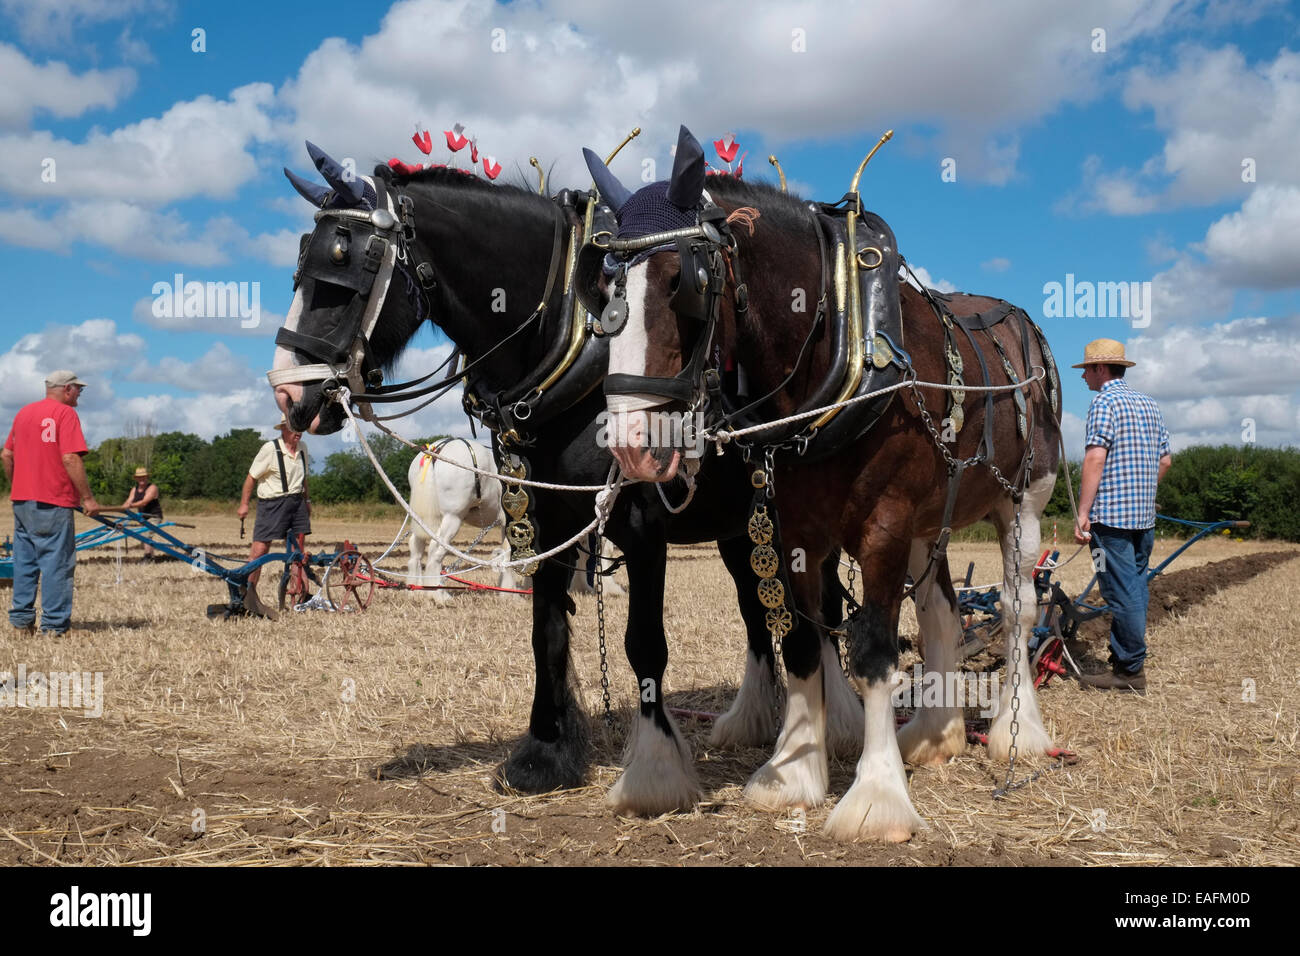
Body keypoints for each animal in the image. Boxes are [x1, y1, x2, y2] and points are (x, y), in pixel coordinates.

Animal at [267, 143, 862, 815]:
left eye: (340, 277)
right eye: (300, 272)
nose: (287, 395)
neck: (573, 349)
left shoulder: (642, 524)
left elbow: (644, 642)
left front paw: (654, 773)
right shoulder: (544, 517)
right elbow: (546, 628)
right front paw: (544, 752)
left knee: (821, 606)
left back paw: (836, 724)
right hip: (740, 524)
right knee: (756, 608)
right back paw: (755, 720)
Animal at [583, 126, 1063, 841]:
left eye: (683, 283)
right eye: (605, 288)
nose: (631, 444)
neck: (842, 338)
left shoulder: (884, 523)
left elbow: (873, 652)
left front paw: (877, 796)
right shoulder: (795, 525)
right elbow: (804, 641)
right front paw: (796, 771)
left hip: (1021, 502)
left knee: (1016, 608)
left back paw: (1019, 728)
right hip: (930, 520)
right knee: (943, 612)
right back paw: (935, 730)